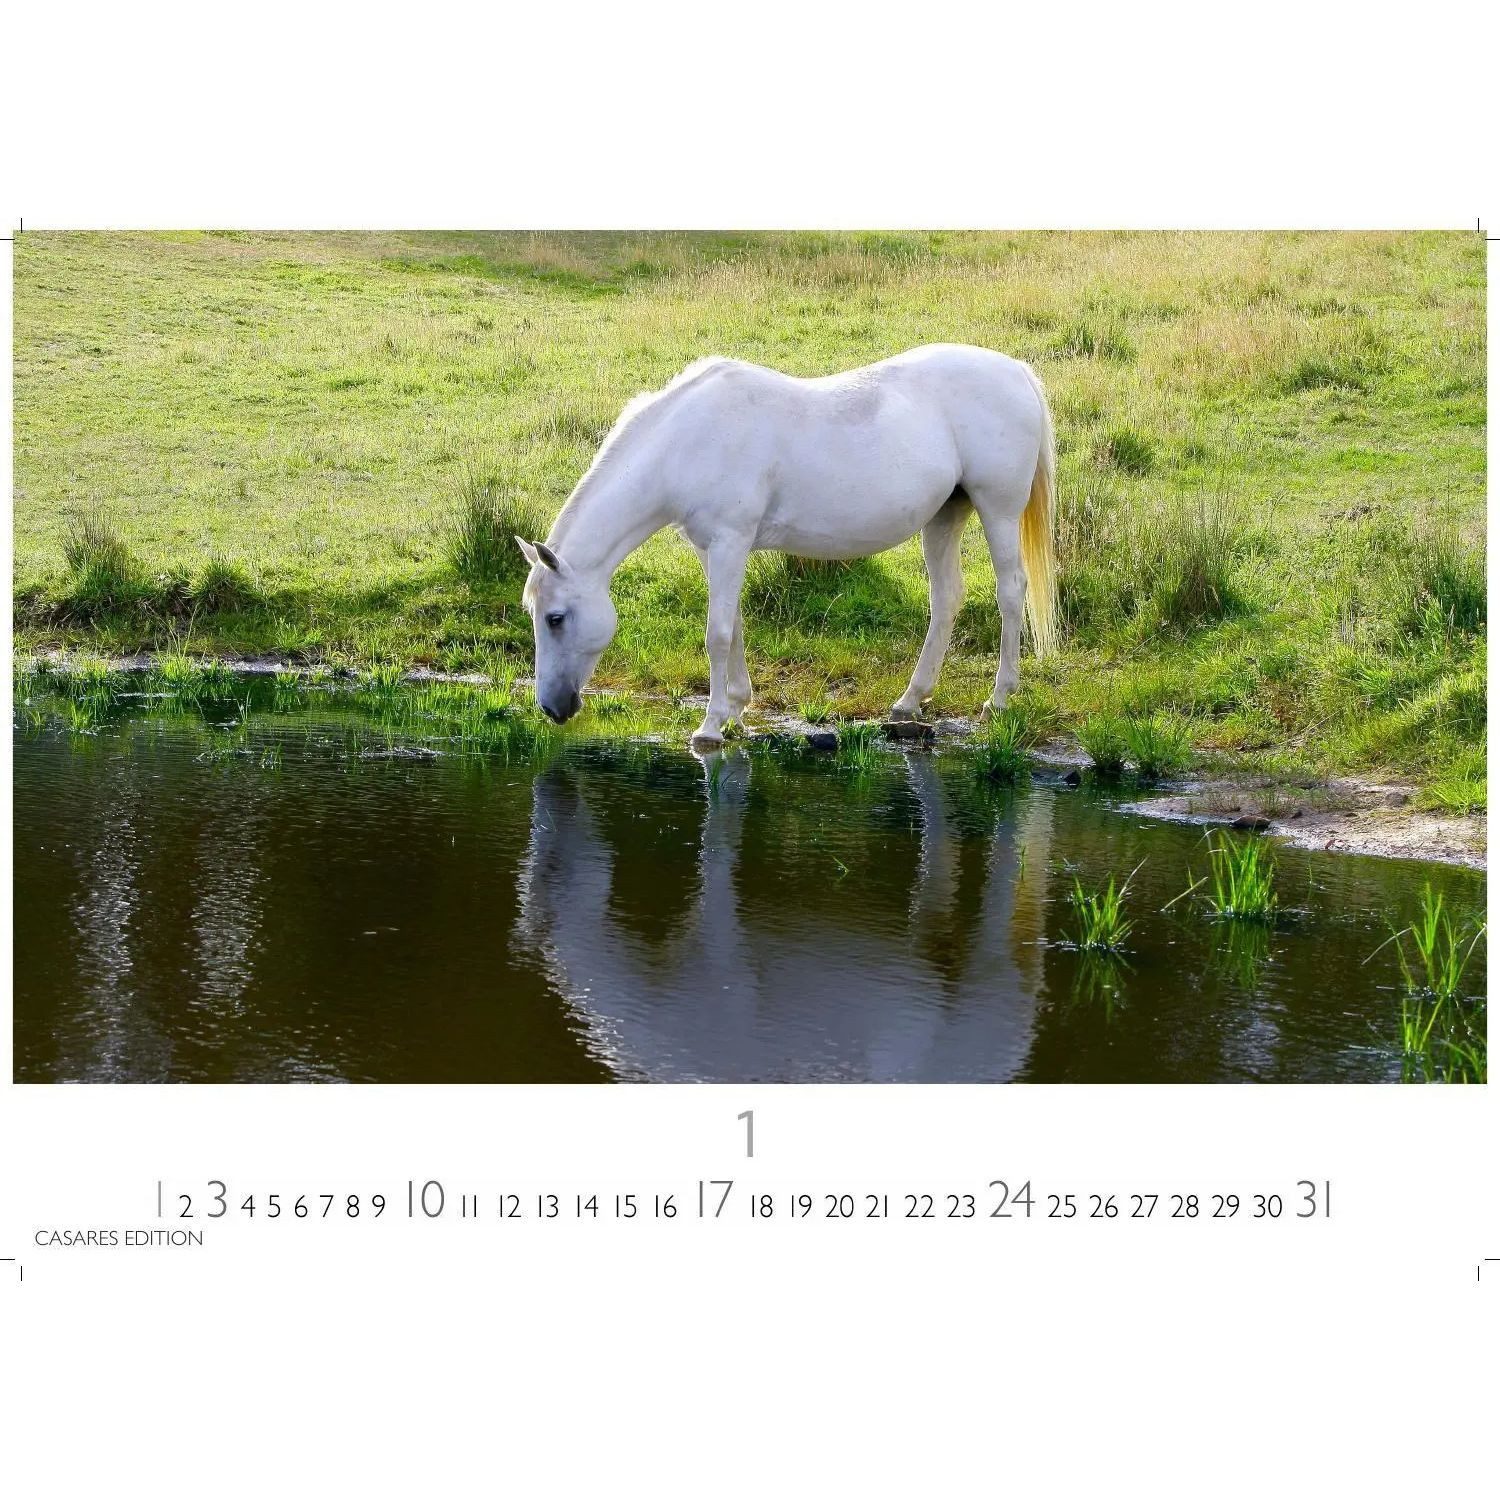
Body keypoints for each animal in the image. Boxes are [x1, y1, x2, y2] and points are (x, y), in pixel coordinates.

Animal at [516, 342, 1058, 746]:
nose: (552, 707)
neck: (688, 439)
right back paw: (909, 702)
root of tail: (1017, 372)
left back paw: (999, 698)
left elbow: (717, 633)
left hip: (998, 510)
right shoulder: (712, 548)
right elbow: (733, 624)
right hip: (945, 516)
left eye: (555, 618)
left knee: (1011, 592)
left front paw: (710, 726)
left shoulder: (730, 541)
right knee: (946, 599)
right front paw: (736, 708)